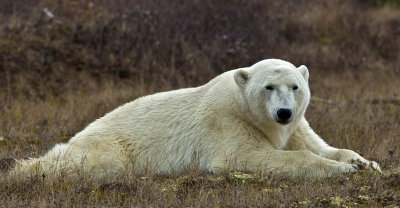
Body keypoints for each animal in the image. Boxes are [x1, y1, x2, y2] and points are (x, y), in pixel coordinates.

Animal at [10, 58, 382, 179]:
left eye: (296, 86)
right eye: (268, 87)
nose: (284, 111)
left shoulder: (295, 129)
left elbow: (321, 145)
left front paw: (364, 162)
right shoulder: (227, 122)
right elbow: (243, 157)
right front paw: (344, 170)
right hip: (109, 146)